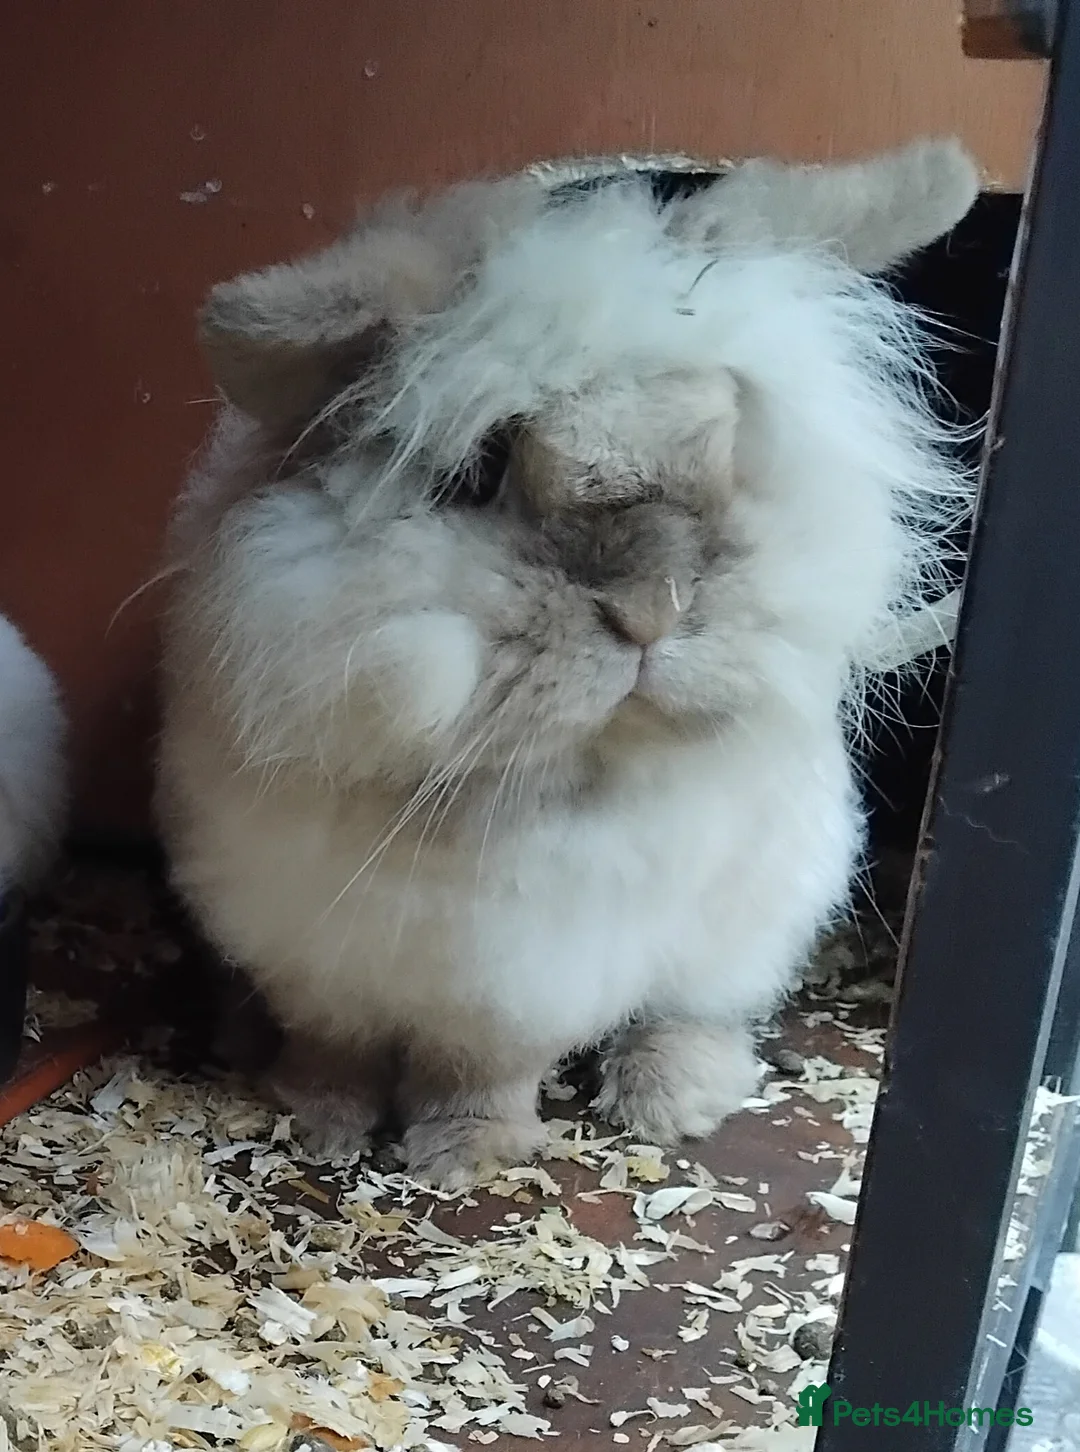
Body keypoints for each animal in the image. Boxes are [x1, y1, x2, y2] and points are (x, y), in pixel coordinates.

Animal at [157, 140, 977, 1188]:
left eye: (724, 448)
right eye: (481, 472)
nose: (651, 611)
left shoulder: (524, 982)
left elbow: (481, 1070)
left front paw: (463, 1156)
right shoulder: (309, 955)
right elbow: (331, 1047)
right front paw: (315, 1121)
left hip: (755, 920)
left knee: (706, 1010)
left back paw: (672, 1096)